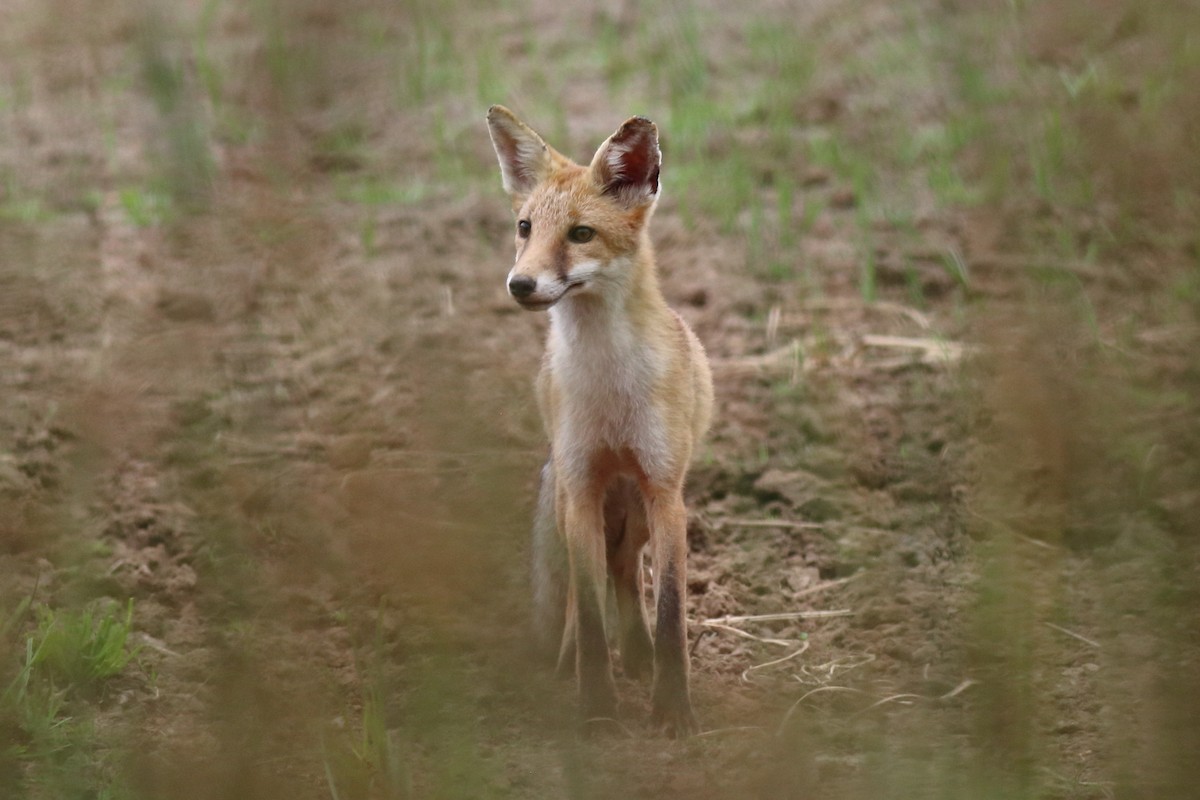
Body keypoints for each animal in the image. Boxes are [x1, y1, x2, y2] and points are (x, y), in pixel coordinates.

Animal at [486, 105, 713, 737]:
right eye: (524, 228)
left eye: (580, 234)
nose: (520, 284)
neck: (610, 387)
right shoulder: (583, 485)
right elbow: (589, 616)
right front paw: (595, 708)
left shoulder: (664, 492)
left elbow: (670, 614)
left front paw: (673, 708)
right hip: (572, 500)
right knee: (586, 592)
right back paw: (573, 667)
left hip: (635, 511)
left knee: (626, 572)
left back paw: (637, 660)